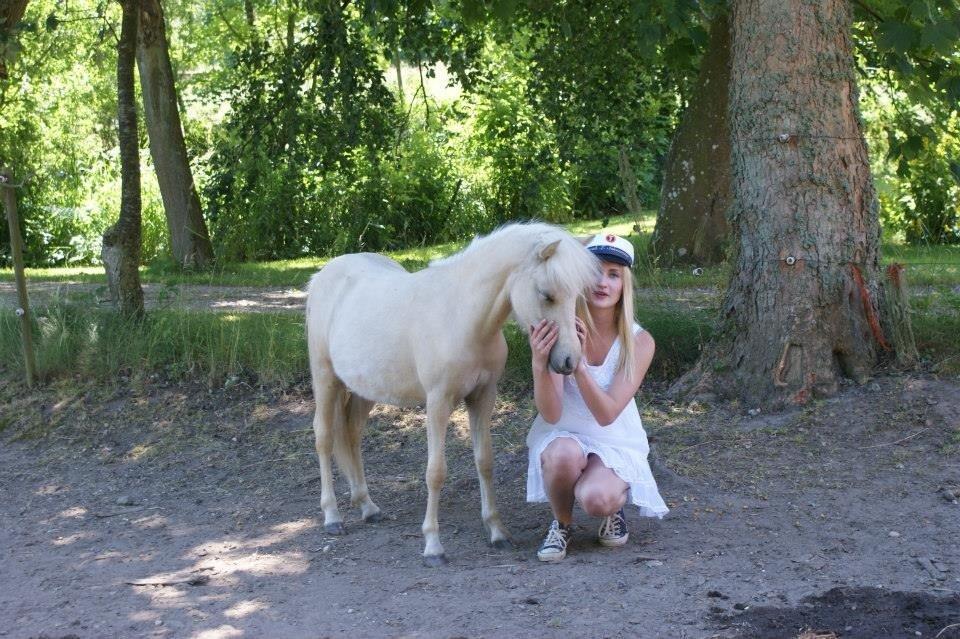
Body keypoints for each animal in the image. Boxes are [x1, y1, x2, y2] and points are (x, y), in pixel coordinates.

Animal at [305, 222, 599, 566]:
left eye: (575, 295)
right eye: (547, 294)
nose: (569, 361)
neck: (462, 317)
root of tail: (324, 274)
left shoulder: (483, 398)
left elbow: (485, 461)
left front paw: (497, 532)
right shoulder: (438, 402)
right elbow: (436, 472)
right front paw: (433, 546)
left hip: (364, 389)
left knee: (351, 436)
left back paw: (368, 507)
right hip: (325, 378)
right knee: (324, 438)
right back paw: (332, 517)